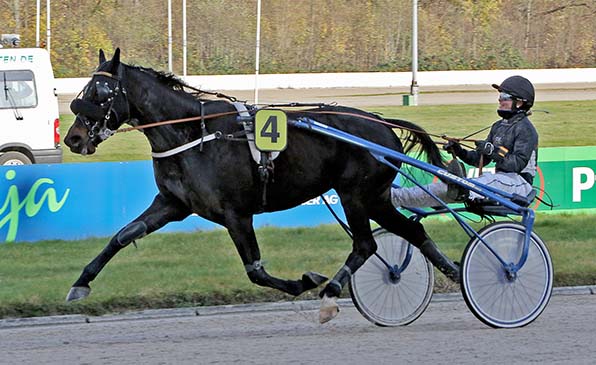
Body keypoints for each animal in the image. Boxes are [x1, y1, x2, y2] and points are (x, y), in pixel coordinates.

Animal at [64, 48, 456, 322]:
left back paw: (330, 293)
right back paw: (453, 271)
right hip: (375, 197)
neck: (193, 134)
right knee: (410, 231)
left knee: (365, 244)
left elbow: (255, 270)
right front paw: (81, 282)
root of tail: (382, 123)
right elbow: (122, 236)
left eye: (101, 92)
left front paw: (304, 281)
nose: (73, 138)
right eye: (84, 89)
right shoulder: (173, 204)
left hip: (356, 194)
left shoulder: (236, 214)